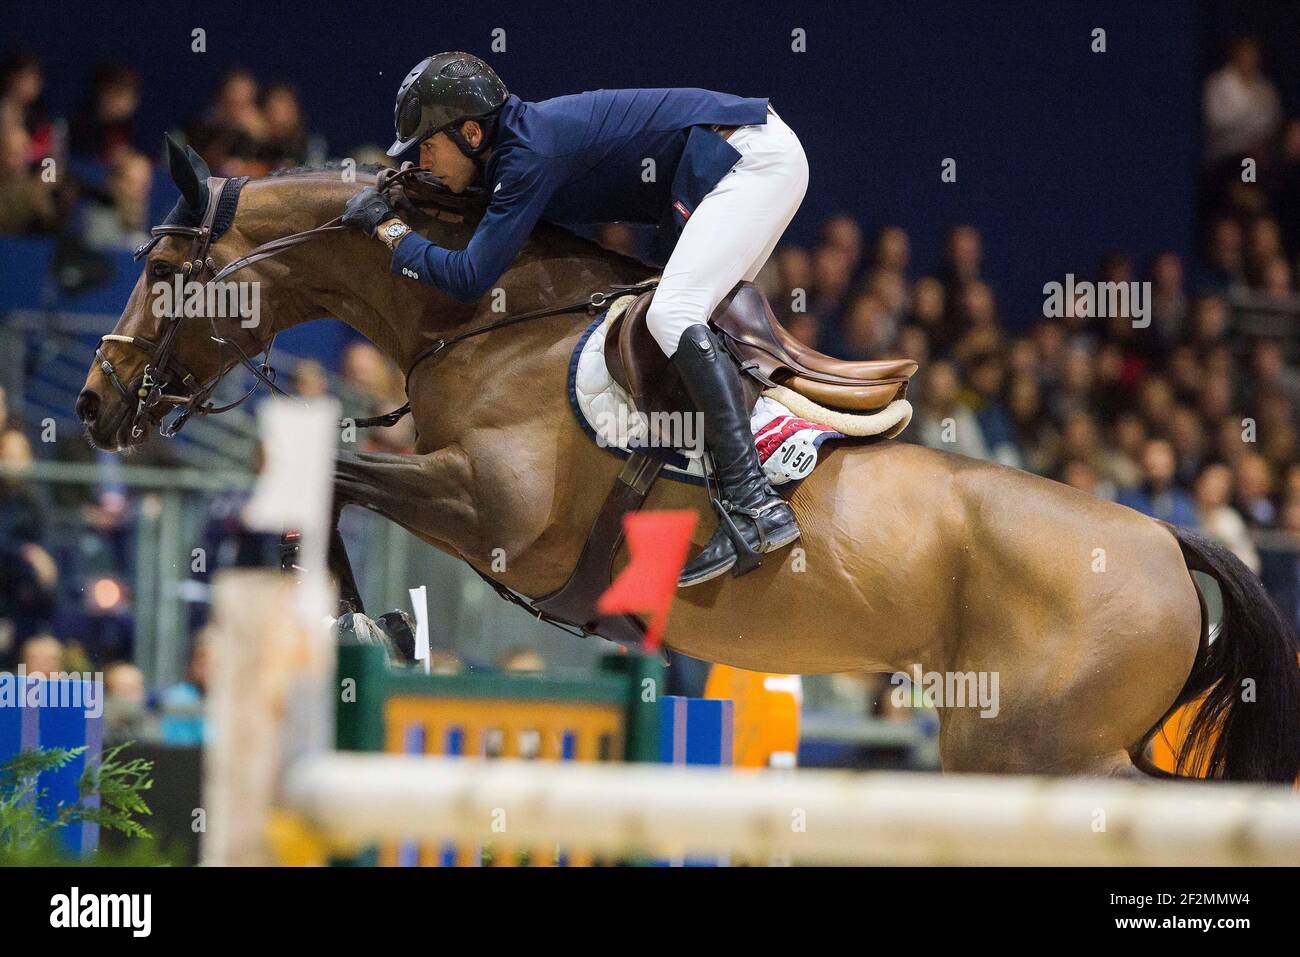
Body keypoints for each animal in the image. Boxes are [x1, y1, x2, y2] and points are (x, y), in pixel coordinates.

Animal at [78, 143, 1300, 785]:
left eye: (162, 270)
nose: (93, 403)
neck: (484, 320)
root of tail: (1164, 538)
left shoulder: (492, 518)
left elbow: (336, 476)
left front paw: (361, 625)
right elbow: (327, 481)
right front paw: (365, 622)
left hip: (1027, 752)